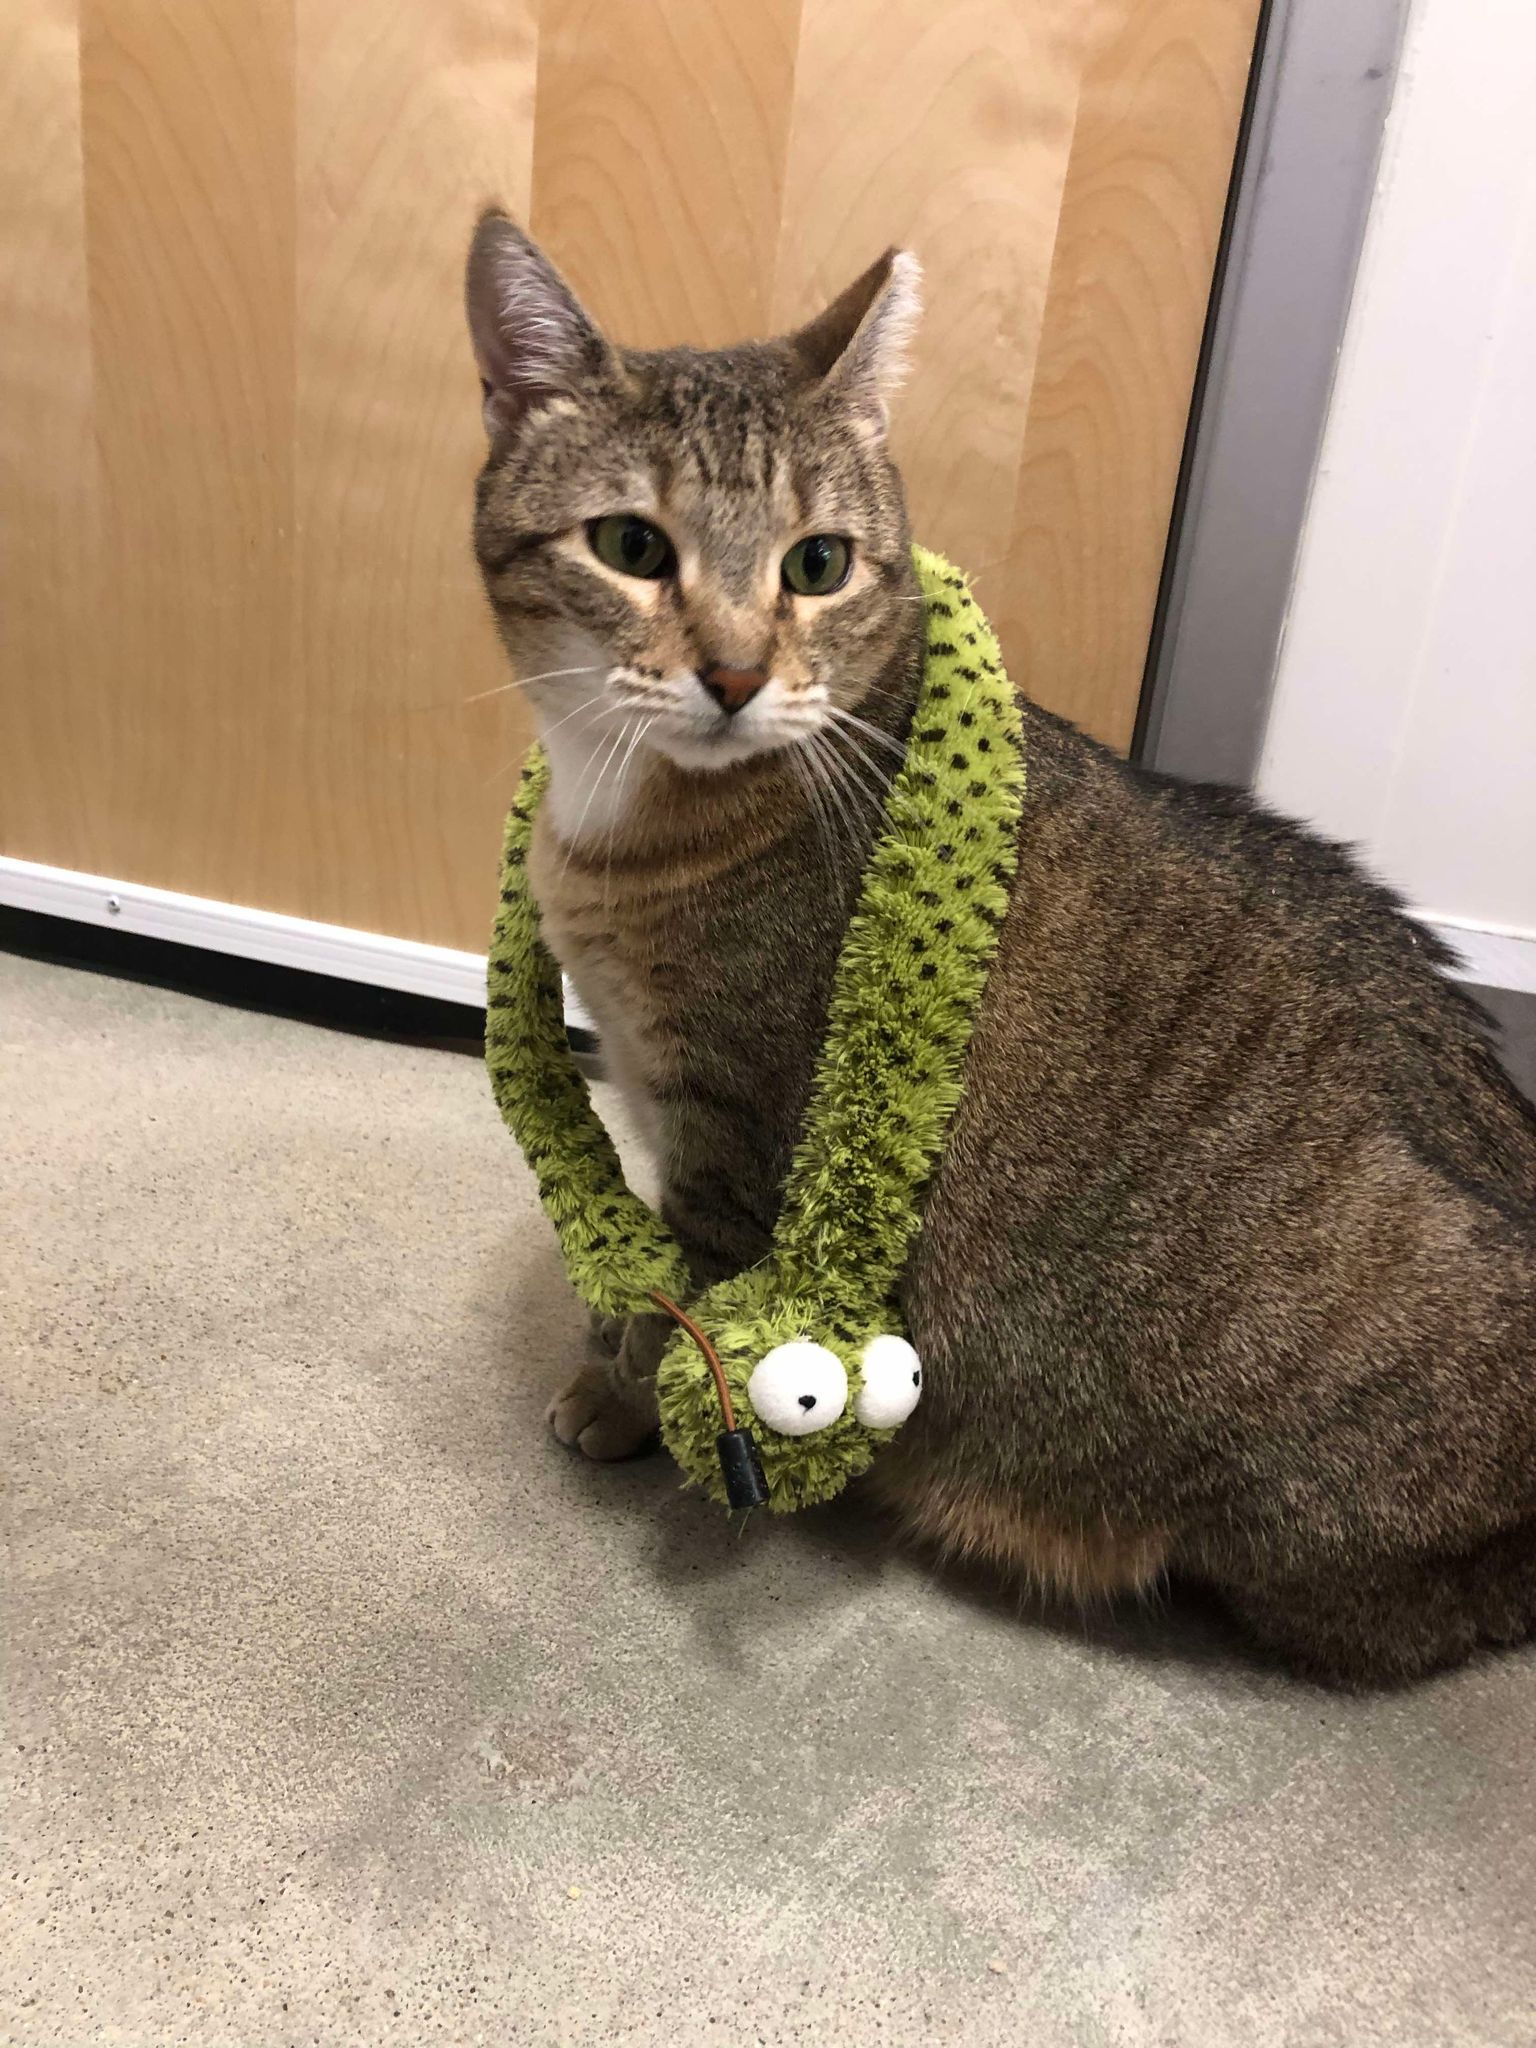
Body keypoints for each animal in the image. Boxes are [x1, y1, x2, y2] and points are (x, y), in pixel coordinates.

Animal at [466, 207, 1536, 1679]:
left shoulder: (730, 1126)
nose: (734, 673)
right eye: (631, 544)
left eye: (815, 563)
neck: (623, 801)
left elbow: (686, 1291)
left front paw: (619, 1394)